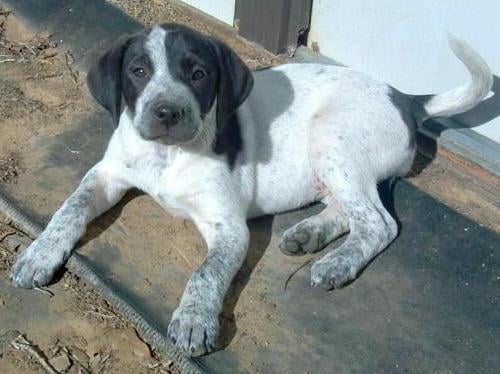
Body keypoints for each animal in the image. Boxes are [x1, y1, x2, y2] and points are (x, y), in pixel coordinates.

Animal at [8, 24, 492, 356]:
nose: (167, 112)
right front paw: (38, 253)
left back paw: (336, 263)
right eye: (139, 71)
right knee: (350, 209)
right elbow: (68, 210)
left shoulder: (228, 227)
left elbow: (205, 273)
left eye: (199, 74)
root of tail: (403, 97)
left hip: (332, 138)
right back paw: (309, 234)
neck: (167, 156)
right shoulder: (107, 174)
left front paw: (193, 320)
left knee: (379, 222)